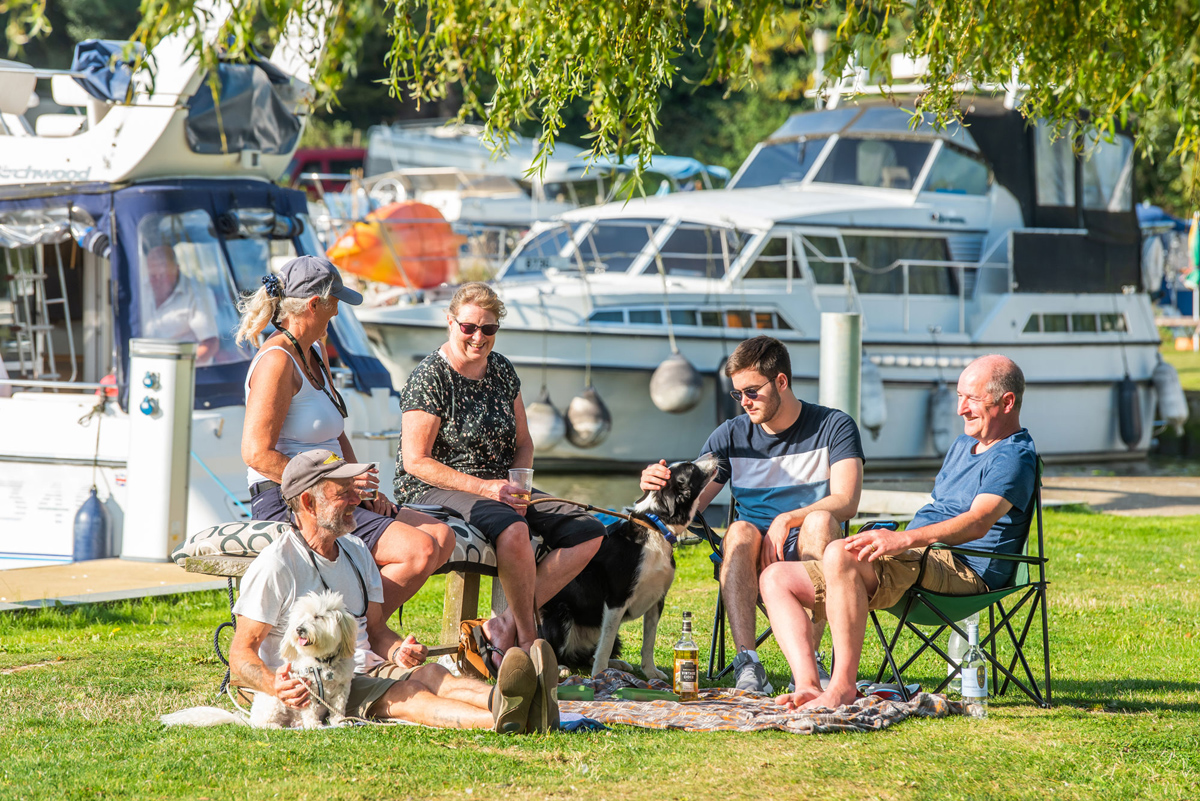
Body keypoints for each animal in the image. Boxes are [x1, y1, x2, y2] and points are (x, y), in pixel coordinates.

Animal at [165, 585, 360, 729]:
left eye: (318, 617)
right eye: (299, 619)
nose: (299, 629)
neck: (323, 661)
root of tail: (249, 719)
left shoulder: (342, 688)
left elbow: (338, 707)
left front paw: (339, 722)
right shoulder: (304, 689)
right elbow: (310, 710)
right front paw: (314, 725)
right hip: (274, 701)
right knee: (262, 723)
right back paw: (274, 726)